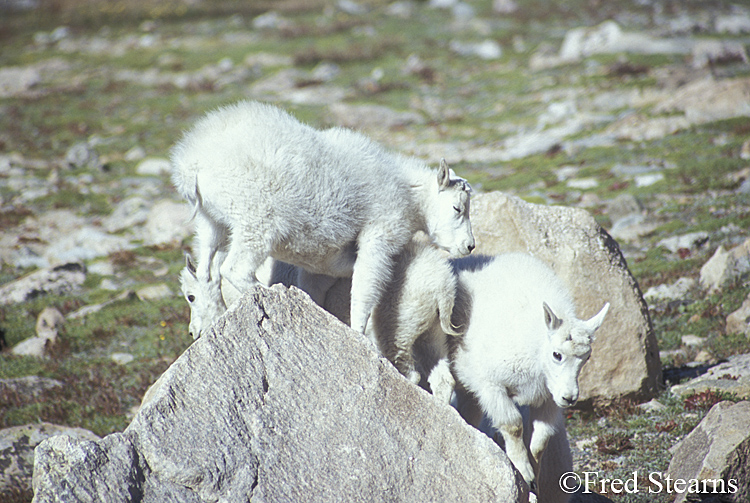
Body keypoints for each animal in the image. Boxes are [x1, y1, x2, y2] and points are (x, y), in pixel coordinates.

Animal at [173, 99, 472, 338]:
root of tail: (192, 166)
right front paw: (359, 333)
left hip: (211, 222)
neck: (409, 194)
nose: (469, 246)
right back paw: (274, 295)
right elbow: (365, 288)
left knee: (208, 268)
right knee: (235, 268)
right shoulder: (380, 235)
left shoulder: (322, 260)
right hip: (257, 221)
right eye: (457, 208)